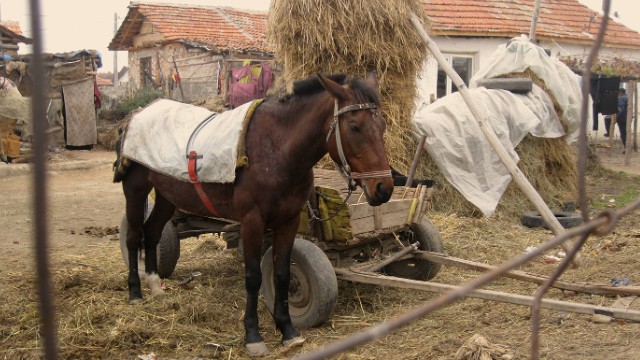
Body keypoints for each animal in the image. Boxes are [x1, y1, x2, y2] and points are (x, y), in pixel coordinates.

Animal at [115, 71, 396, 356]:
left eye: (383, 125)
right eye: (354, 127)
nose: (383, 188)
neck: (276, 151)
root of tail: (136, 115)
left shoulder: (289, 221)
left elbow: (281, 273)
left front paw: (288, 330)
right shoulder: (252, 222)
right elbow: (253, 277)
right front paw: (253, 335)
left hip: (167, 195)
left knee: (152, 232)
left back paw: (155, 285)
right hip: (136, 189)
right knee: (134, 236)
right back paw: (135, 292)